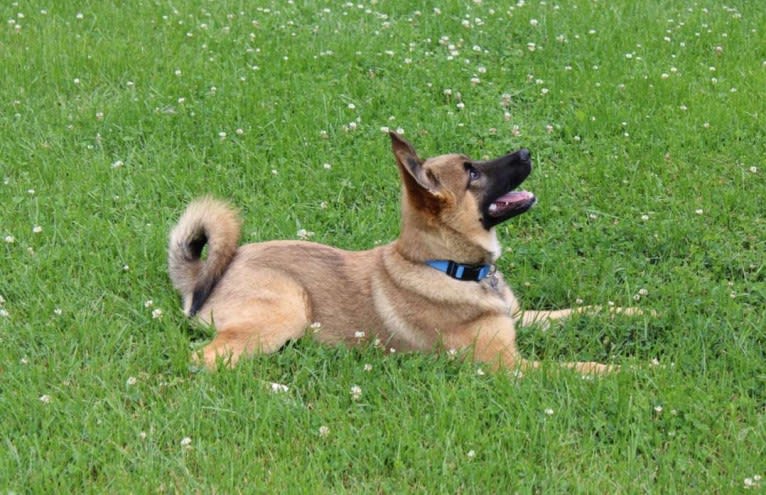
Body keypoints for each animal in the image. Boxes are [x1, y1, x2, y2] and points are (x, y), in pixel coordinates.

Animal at [171, 134, 640, 374]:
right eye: (472, 173)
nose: (526, 151)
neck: (448, 266)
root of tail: (207, 273)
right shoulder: (512, 367)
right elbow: (587, 367)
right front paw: (641, 371)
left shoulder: (519, 317)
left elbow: (583, 311)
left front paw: (639, 313)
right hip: (287, 312)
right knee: (201, 360)